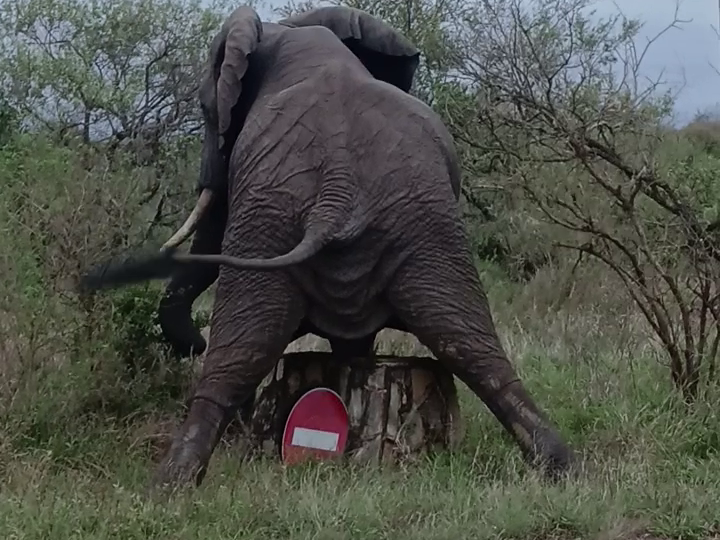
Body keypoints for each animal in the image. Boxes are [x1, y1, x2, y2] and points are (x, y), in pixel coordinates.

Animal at [80, 5, 576, 490]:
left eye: (206, 109)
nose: (193, 343)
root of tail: (336, 191)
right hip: (423, 230)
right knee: (471, 345)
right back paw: (563, 468)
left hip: (281, 216)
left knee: (238, 354)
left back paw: (166, 486)